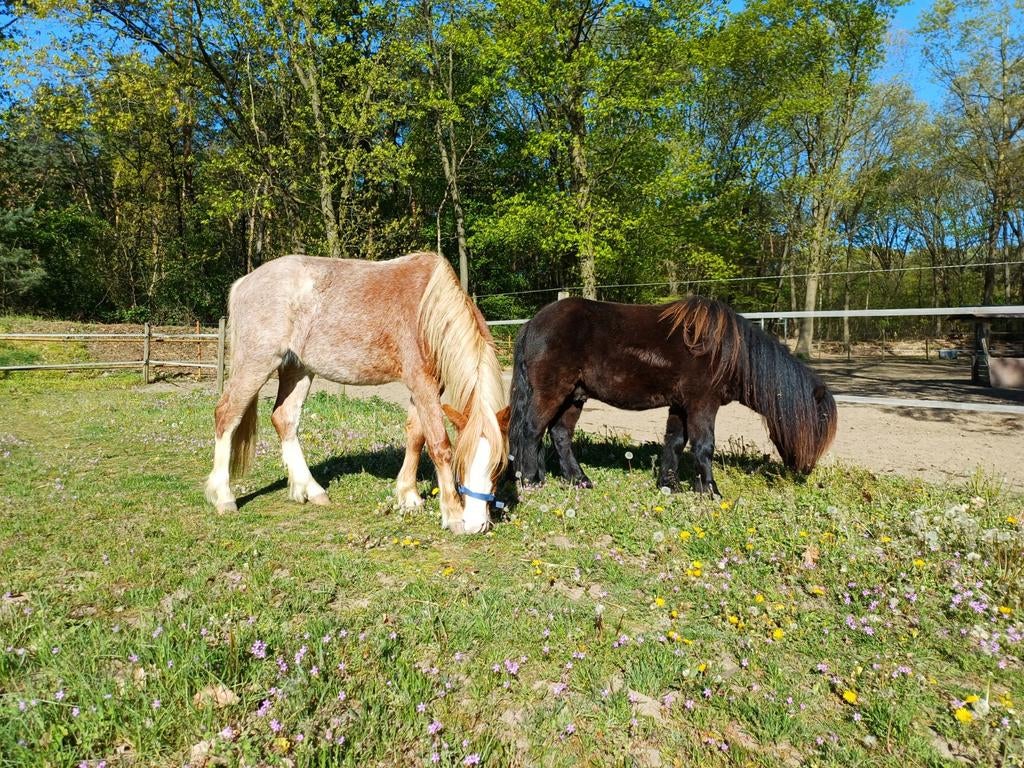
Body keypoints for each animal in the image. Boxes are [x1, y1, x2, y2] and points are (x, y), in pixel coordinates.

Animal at [204, 251, 510, 534]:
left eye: (498, 466)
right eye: (462, 463)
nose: (477, 525)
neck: (428, 310)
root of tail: (244, 284)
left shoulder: (427, 386)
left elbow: (416, 436)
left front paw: (408, 496)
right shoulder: (422, 383)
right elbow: (438, 444)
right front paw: (453, 515)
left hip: (297, 368)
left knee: (284, 418)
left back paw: (310, 489)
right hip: (256, 365)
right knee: (226, 416)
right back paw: (224, 497)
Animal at [508, 296, 837, 496]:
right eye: (817, 428)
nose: (805, 471)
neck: (726, 352)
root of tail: (533, 323)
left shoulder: (680, 406)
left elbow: (676, 442)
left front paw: (669, 485)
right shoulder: (703, 404)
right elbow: (704, 446)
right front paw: (710, 490)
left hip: (574, 396)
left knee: (559, 434)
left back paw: (578, 479)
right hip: (553, 391)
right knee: (532, 431)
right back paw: (531, 479)